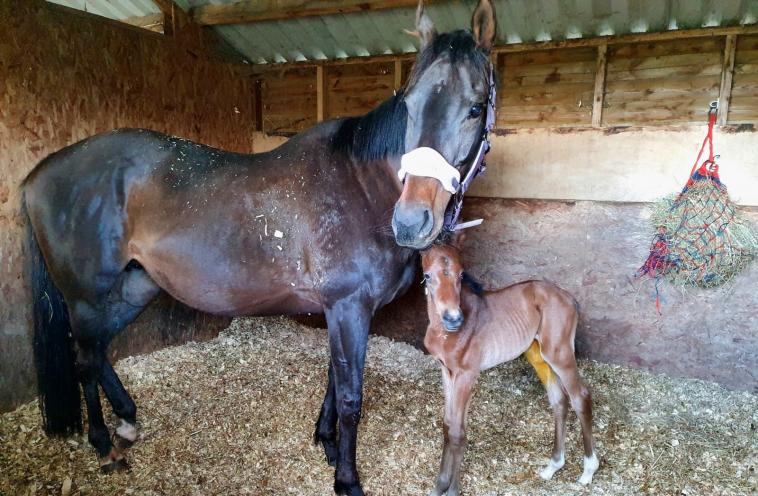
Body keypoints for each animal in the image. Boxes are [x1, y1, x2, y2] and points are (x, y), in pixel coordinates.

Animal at [20, 1, 498, 494]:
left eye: (475, 108)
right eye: (408, 105)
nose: (411, 221)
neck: (361, 186)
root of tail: (41, 171)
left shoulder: (343, 310)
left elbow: (334, 381)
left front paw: (325, 443)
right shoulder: (348, 307)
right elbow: (350, 396)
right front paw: (346, 479)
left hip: (135, 287)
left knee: (96, 351)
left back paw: (128, 420)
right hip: (85, 296)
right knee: (83, 359)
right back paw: (101, 442)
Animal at [422, 236, 600, 496]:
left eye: (461, 274)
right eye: (427, 276)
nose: (453, 319)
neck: (446, 334)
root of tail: (569, 298)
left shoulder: (467, 374)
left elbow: (457, 431)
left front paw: (451, 489)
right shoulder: (447, 371)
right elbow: (449, 425)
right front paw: (440, 486)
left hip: (559, 353)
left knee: (580, 397)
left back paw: (588, 471)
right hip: (538, 355)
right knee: (559, 400)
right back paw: (552, 466)